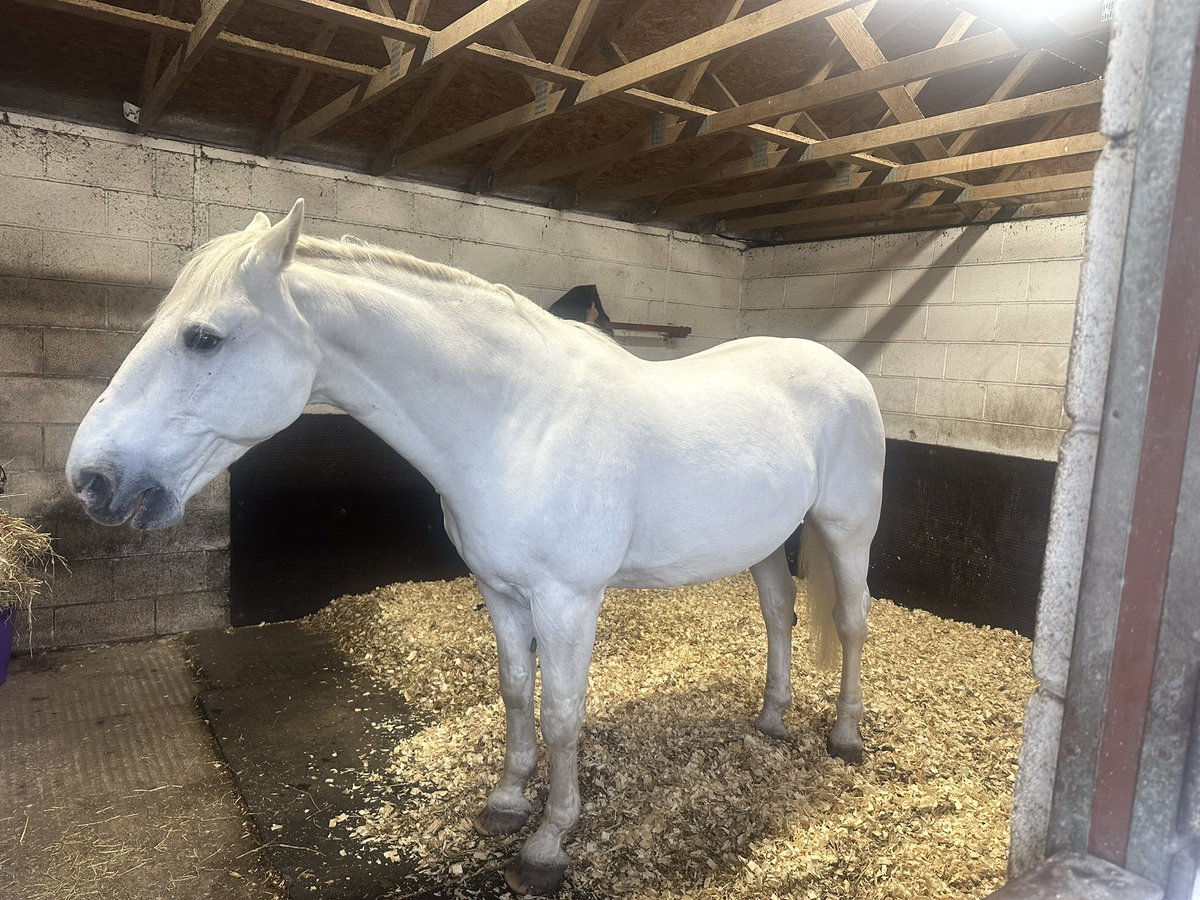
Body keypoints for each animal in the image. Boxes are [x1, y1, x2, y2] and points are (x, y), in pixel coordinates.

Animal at [66, 200, 885, 896]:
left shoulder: (568, 601)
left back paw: (844, 736)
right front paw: (505, 803)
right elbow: (517, 693)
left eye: (203, 337)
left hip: (847, 530)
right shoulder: (499, 590)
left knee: (849, 624)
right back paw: (771, 719)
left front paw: (548, 844)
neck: (518, 420)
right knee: (779, 616)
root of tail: (844, 372)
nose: (91, 479)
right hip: (767, 541)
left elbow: (562, 714)